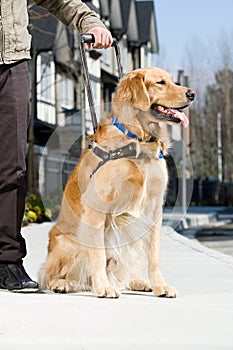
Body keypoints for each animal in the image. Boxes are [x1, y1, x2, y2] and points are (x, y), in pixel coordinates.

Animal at [39, 67, 195, 298]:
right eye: (160, 82)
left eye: (172, 80)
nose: (192, 94)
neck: (138, 140)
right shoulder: (96, 208)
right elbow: (97, 255)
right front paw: (103, 287)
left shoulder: (154, 208)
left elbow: (154, 256)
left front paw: (160, 285)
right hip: (68, 242)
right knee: (51, 276)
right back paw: (64, 284)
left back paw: (137, 281)